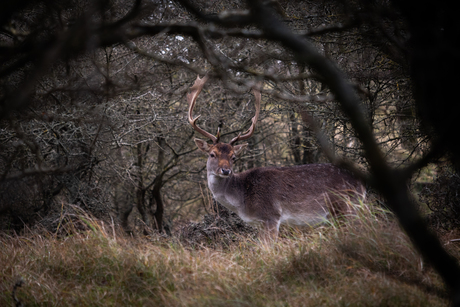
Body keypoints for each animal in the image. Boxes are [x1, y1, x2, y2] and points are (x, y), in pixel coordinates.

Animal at [188, 75, 366, 243]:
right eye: (212, 154)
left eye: (234, 157)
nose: (225, 170)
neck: (243, 202)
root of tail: (363, 185)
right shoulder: (259, 223)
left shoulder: (271, 215)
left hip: (345, 207)